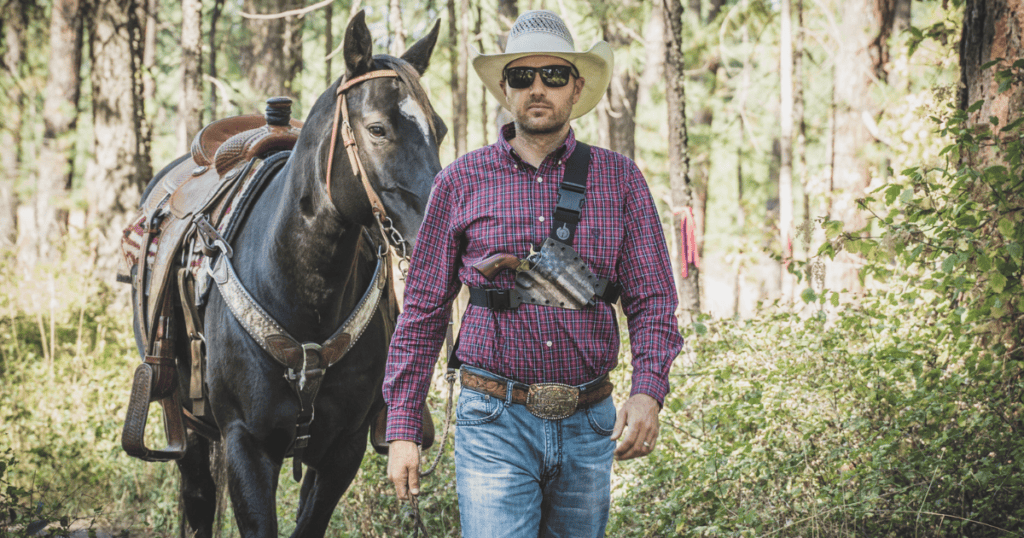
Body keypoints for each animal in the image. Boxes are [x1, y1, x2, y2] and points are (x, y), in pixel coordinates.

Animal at [133, 12, 444, 536]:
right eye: (377, 128)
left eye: (437, 129)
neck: (302, 289)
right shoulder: (246, 444)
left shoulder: (342, 450)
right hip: (189, 424)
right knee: (198, 498)